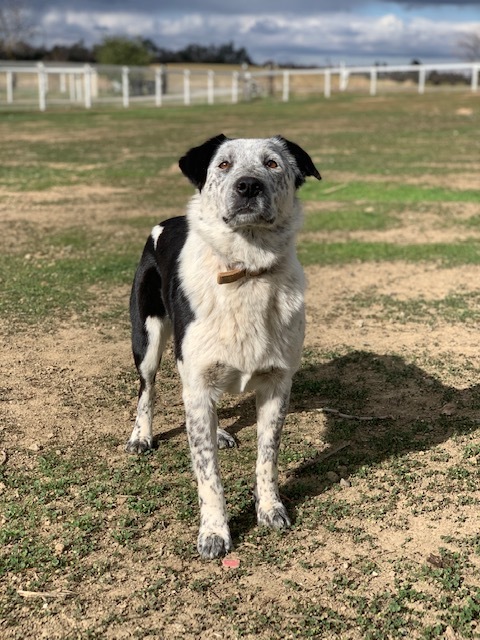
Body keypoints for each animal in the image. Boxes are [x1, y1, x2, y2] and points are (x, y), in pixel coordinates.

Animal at [125, 135, 320, 560]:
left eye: (273, 163)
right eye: (224, 165)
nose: (248, 185)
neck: (244, 270)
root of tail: (168, 222)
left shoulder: (278, 385)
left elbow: (267, 457)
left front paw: (270, 509)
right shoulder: (197, 381)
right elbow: (207, 474)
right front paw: (214, 532)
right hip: (147, 339)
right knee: (147, 390)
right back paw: (141, 436)